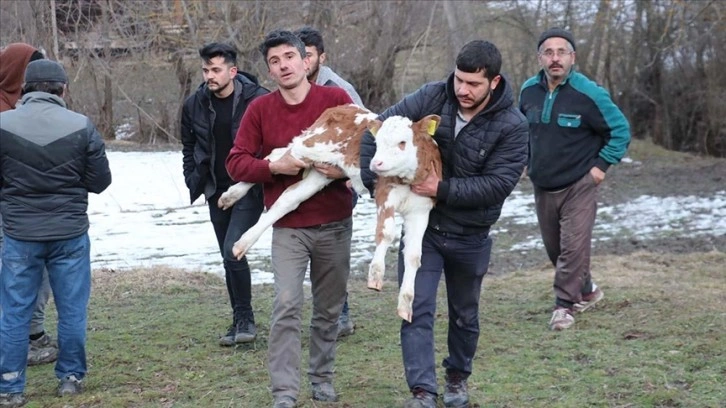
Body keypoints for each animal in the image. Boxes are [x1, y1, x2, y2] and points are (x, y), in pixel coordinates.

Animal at [218, 104, 444, 322]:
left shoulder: (420, 210)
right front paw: (376, 274)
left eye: (402, 142)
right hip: (311, 146)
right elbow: (386, 232)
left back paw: (242, 243)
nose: (375, 164)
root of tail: (344, 107)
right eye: (377, 142)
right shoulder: (385, 194)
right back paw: (232, 195)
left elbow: (414, 255)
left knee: (289, 199)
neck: (409, 178)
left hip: (320, 174)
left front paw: (406, 304)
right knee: (276, 156)